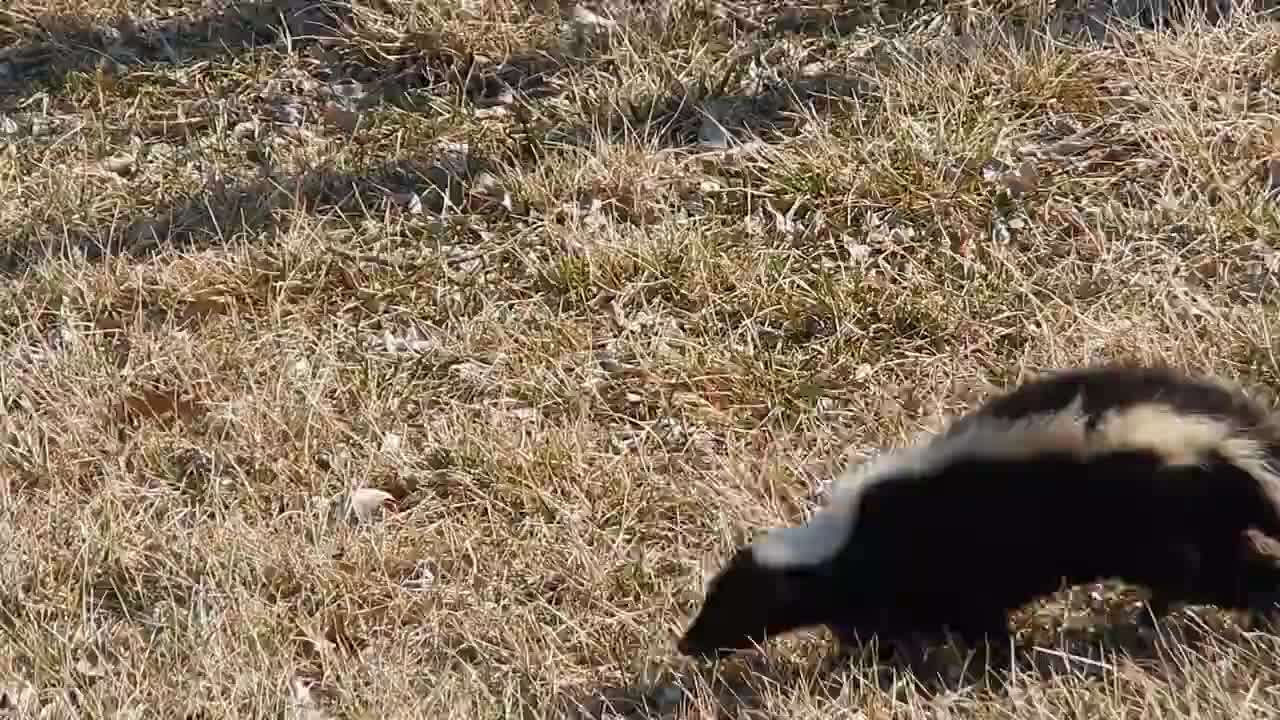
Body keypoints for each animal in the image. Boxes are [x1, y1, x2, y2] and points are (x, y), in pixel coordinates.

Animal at [680, 366, 1280, 661]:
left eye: (735, 606)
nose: (688, 645)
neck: (842, 540)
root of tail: (1229, 435)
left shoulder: (946, 568)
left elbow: (973, 621)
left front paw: (989, 663)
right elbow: (873, 623)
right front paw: (867, 656)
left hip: (1162, 515)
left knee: (1218, 574)